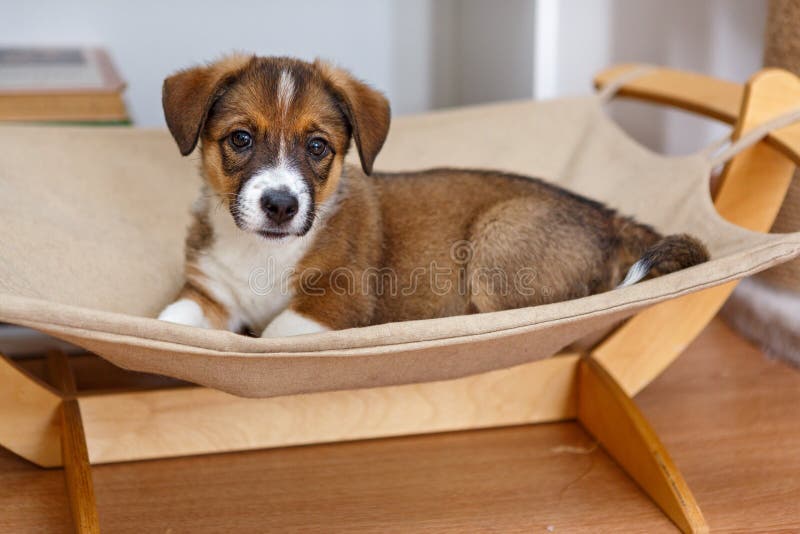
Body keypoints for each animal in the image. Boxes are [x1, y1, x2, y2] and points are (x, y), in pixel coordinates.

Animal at [156, 55, 708, 340]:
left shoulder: (335, 303)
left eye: (317, 147)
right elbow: (171, 320)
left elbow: (274, 335)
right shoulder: (208, 293)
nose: (280, 206)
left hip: (497, 241)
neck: (262, 252)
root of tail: (607, 217)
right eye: (240, 139)